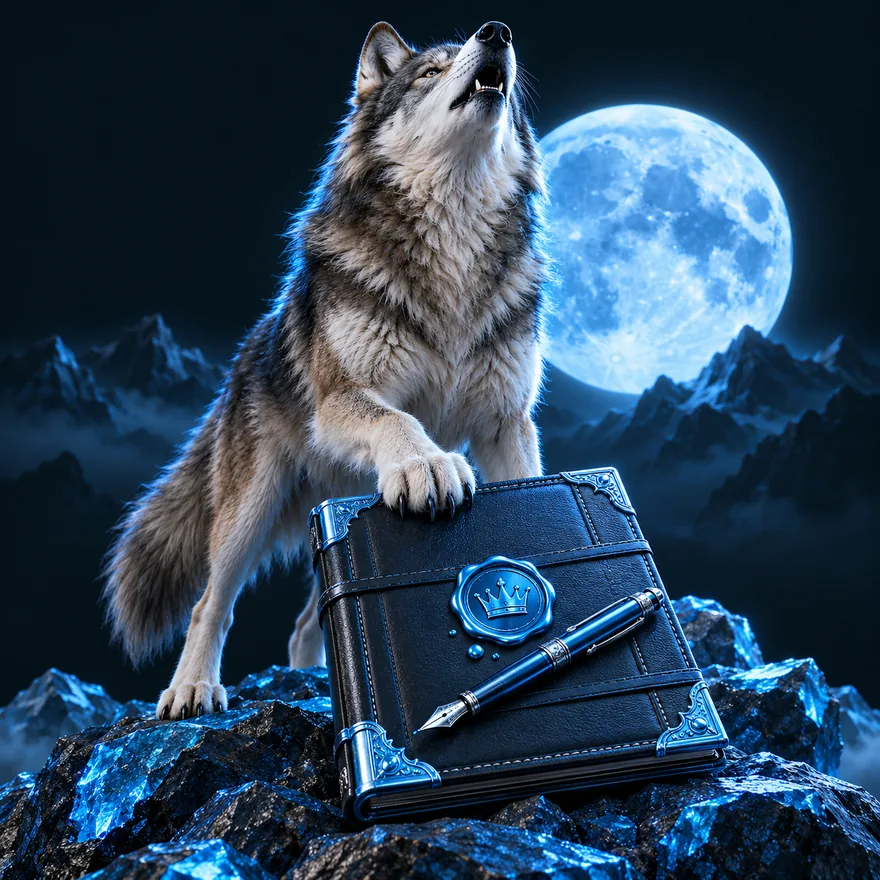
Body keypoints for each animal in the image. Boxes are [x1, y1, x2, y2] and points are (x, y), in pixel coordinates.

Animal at [103, 20, 551, 720]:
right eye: (430, 71)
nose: (497, 31)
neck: (452, 251)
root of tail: (244, 355)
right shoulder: (342, 400)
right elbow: (398, 420)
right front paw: (426, 465)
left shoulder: (507, 425)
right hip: (249, 509)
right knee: (212, 602)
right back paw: (192, 689)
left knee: (304, 622)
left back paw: (316, 684)